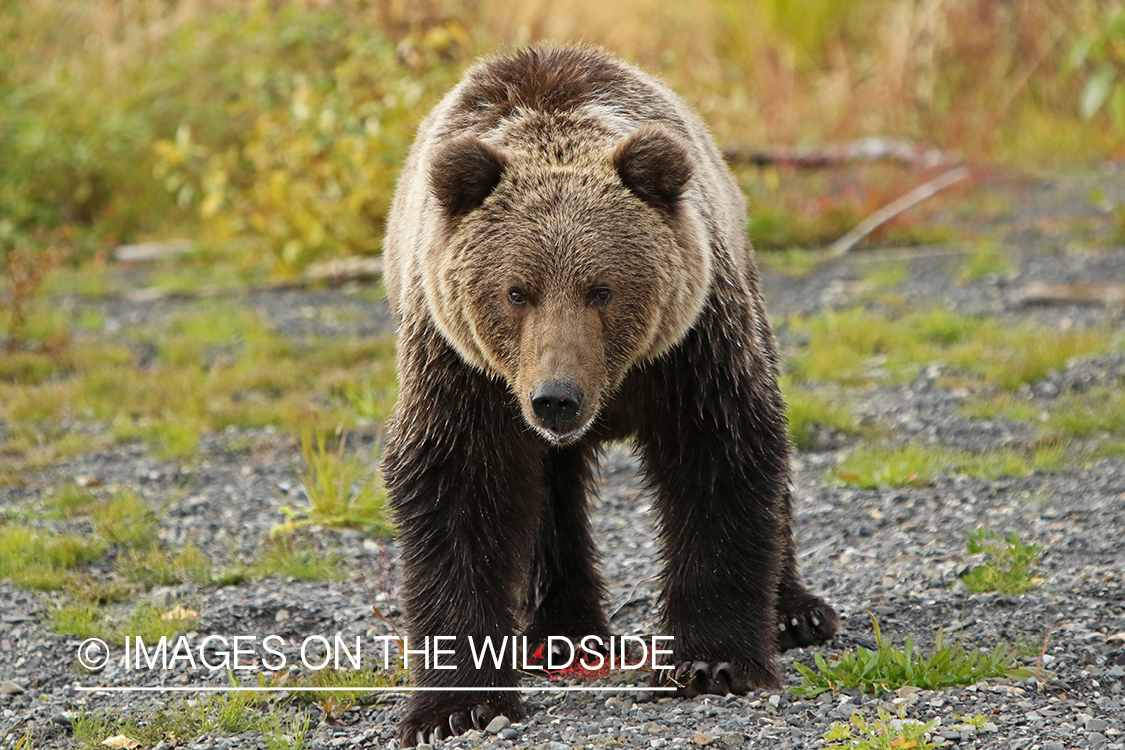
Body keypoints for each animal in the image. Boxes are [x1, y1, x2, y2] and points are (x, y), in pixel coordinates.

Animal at [384, 45, 837, 746]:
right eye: (517, 291)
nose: (556, 398)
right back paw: (562, 634)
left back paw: (795, 612)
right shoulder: (462, 370)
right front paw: (455, 708)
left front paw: (713, 663)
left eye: (602, 290)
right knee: (550, 504)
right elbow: (459, 492)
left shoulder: (690, 349)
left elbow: (719, 461)